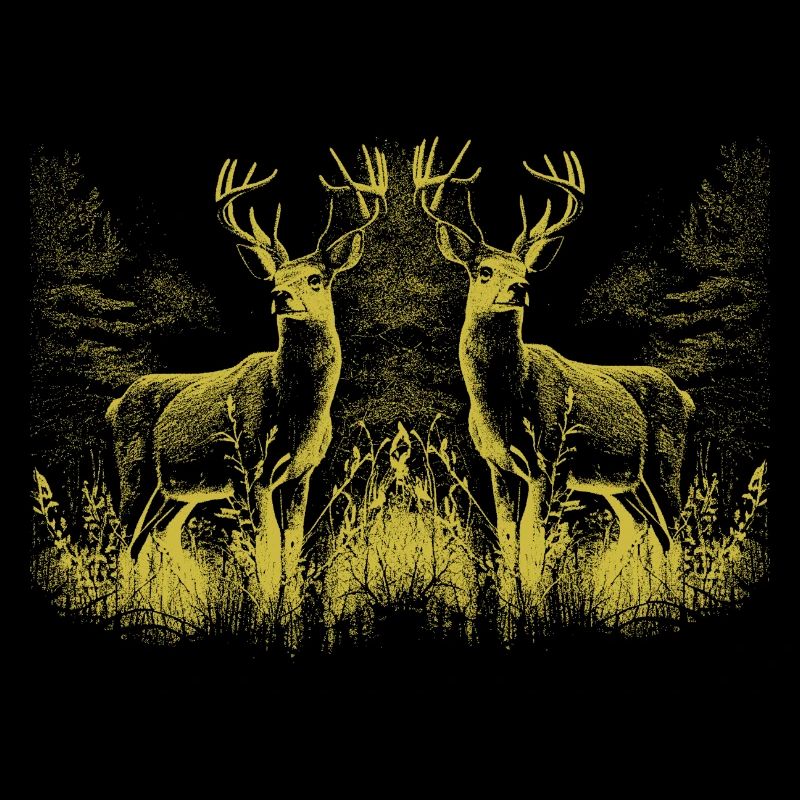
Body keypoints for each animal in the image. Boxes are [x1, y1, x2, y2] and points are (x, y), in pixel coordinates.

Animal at [106, 145, 388, 609]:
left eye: (315, 278)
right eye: (274, 277)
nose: (279, 295)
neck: (298, 412)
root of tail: (113, 406)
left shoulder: (302, 474)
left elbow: (291, 545)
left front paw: (288, 609)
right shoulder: (250, 469)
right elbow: (265, 547)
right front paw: (266, 608)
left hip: (179, 490)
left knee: (154, 536)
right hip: (135, 469)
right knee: (123, 540)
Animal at [412, 138, 694, 600]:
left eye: (525, 270)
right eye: (484, 270)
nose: (520, 288)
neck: (502, 404)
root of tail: (686, 398)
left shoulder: (550, 461)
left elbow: (535, 539)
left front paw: (535, 599)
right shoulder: (498, 466)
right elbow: (508, 537)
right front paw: (512, 600)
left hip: (664, 462)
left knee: (677, 530)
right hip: (622, 483)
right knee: (646, 528)